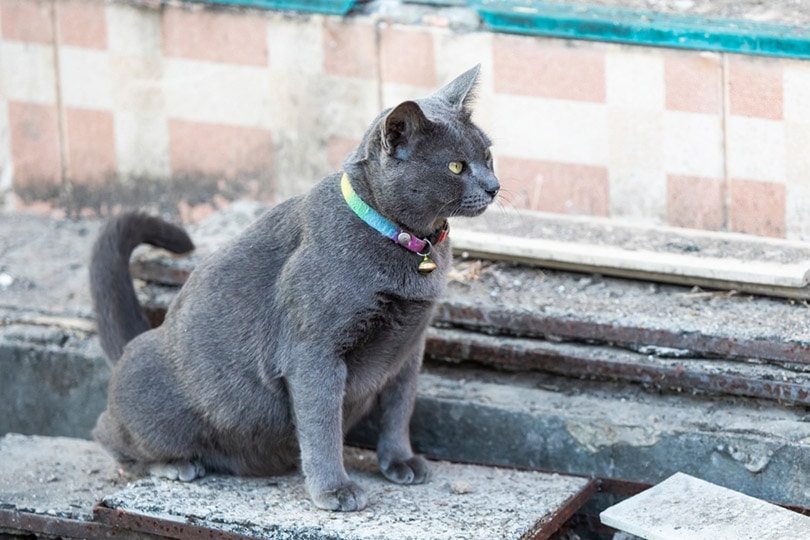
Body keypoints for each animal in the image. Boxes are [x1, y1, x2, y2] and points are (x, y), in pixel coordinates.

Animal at [87, 64, 492, 510]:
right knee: (108, 434)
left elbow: (398, 410)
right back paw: (176, 465)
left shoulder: (408, 349)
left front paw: (400, 462)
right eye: (456, 167)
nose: (494, 186)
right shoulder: (313, 352)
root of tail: (131, 345)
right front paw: (335, 489)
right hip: (157, 402)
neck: (410, 244)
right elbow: (321, 427)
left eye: (488, 155)